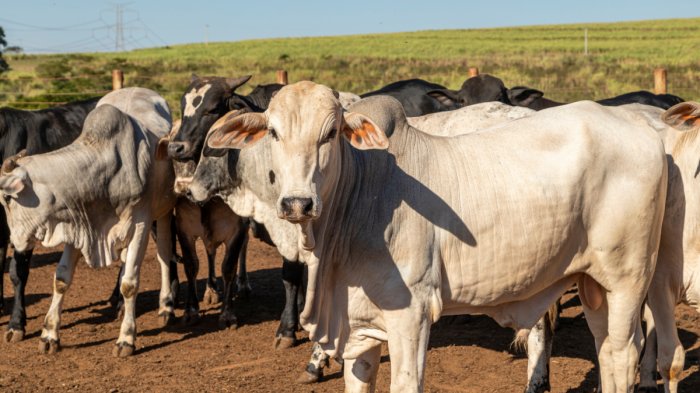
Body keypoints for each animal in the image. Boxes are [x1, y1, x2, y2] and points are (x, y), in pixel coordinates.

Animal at [204, 81, 668, 390]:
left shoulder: (411, 315)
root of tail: (645, 127)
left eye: (331, 133)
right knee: (606, 351)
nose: (297, 204)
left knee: (624, 354)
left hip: (627, 278)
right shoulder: (358, 328)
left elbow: (407, 382)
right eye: (273, 132)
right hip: (592, 284)